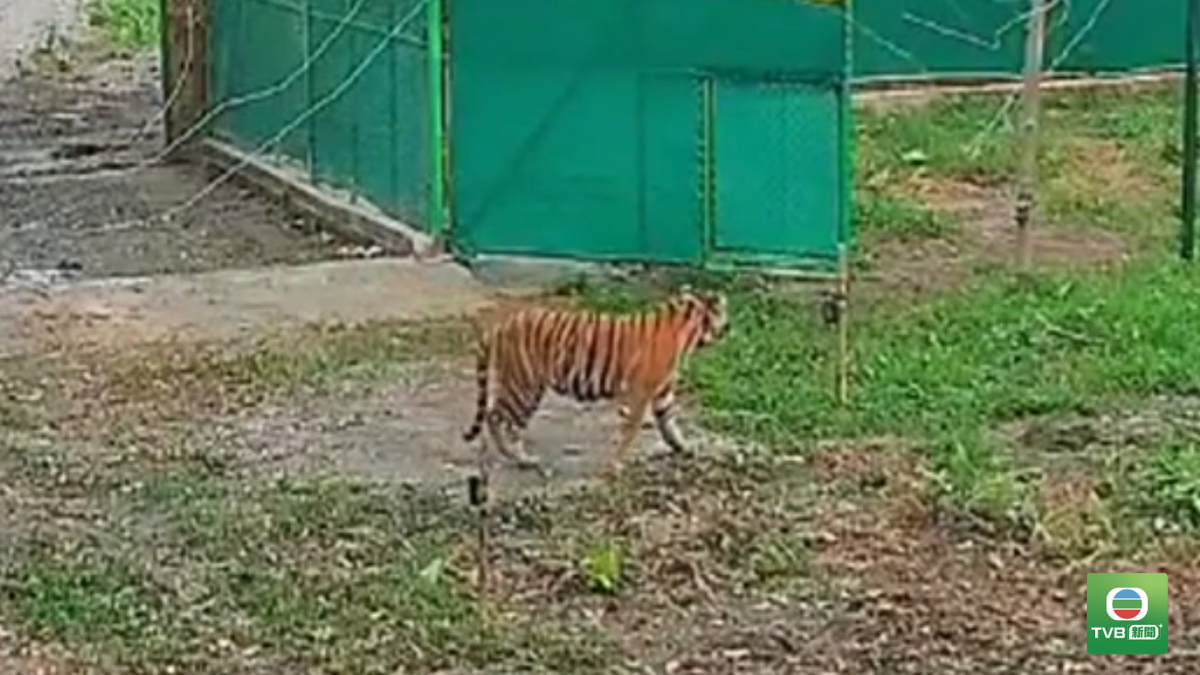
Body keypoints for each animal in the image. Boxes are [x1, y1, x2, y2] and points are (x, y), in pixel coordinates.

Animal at [462, 286, 729, 477]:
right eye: (721, 310)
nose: (729, 325)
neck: (687, 331)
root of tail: (501, 326)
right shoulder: (639, 392)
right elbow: (630, 429)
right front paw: (615, 466)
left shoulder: (662, 392)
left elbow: (670, 423)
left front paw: (684, 448)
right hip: (524, 386)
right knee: (496, 416)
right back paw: (519, 458)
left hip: (521, 384)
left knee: (498, 415)